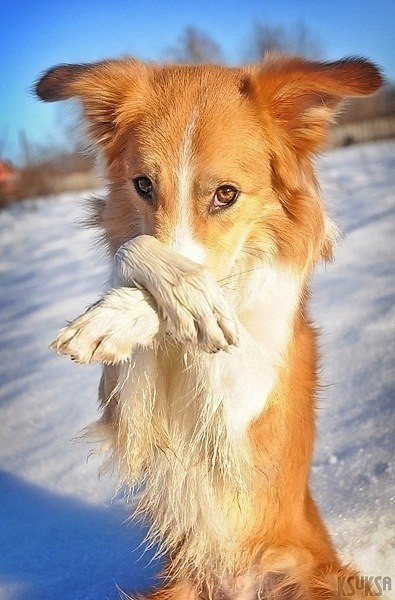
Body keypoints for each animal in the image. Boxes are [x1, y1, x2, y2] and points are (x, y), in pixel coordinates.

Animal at [36, 54, 384, 596]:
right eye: (143, 185)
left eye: (226, 194)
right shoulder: (125, 402)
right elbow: (132, 248)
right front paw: (154, 301)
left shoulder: (249, 403)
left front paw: (176, 303)